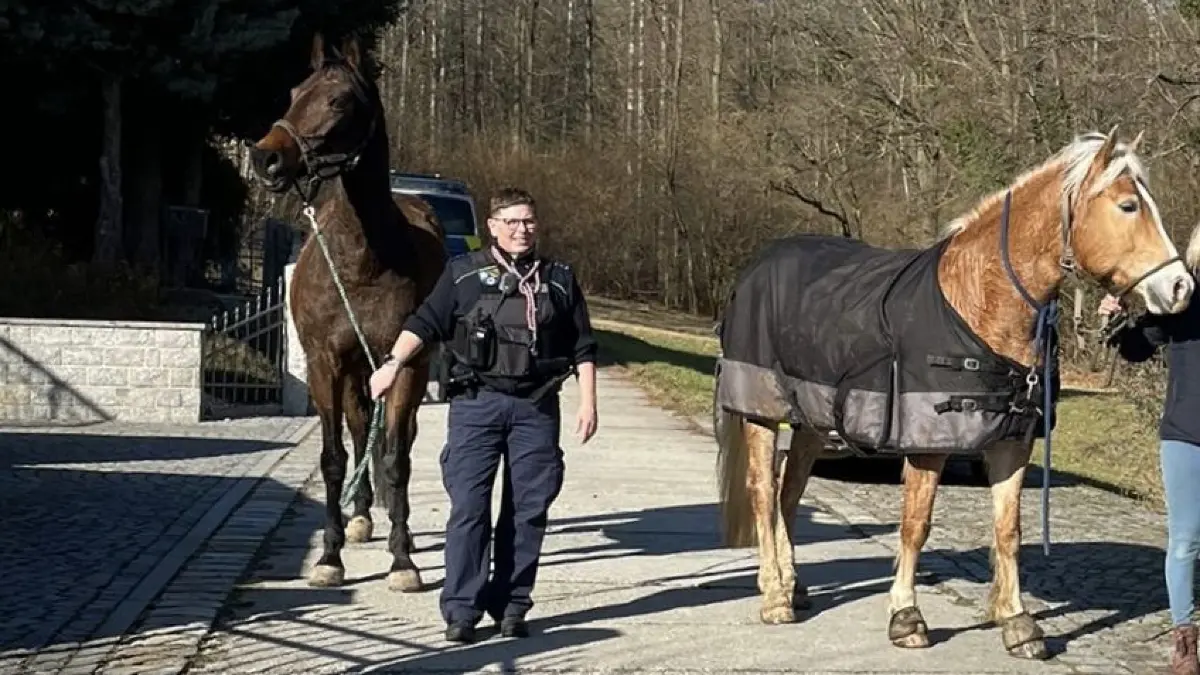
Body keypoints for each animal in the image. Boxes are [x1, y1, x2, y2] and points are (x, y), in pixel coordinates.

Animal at [246, 33, 446, 592]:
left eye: (338, 101)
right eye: (295, 91)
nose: (266, 159)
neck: (363, 261)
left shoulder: (405, 365)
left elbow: (397, 458)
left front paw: (402, 561)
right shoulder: (325, 364)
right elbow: (335, 457)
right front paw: (329, 555)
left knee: (393, 440)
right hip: (355, 370)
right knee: (359, 431)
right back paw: (360, 517)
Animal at [712, 128, 1198, 659]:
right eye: (1128, 205)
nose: (1180, 287)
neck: (979, 302)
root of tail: (757, 265)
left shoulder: (1011, 443)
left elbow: (1008, 530)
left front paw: (1019, 622)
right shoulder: (928, 443)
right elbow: (916, 524)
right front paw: (906, 617)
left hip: (811, 422)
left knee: (791, 493)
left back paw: (794, 584)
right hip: (762, 413)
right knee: (764, 492)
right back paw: (775, 595)